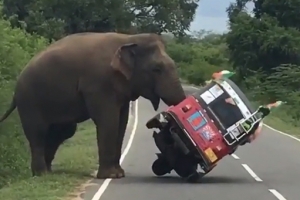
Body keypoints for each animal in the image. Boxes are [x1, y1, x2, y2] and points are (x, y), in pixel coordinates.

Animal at [0, 32, 186, 179]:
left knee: (61, 132)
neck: (129, 38)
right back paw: (42, 174)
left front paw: (119, 174)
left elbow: (121, 122)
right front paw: (111, 176)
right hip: (30, 101)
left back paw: (48, 172)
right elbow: (109, 121)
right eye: (157, 69)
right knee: (38, 133)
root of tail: (15, 89)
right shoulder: (99, 84)